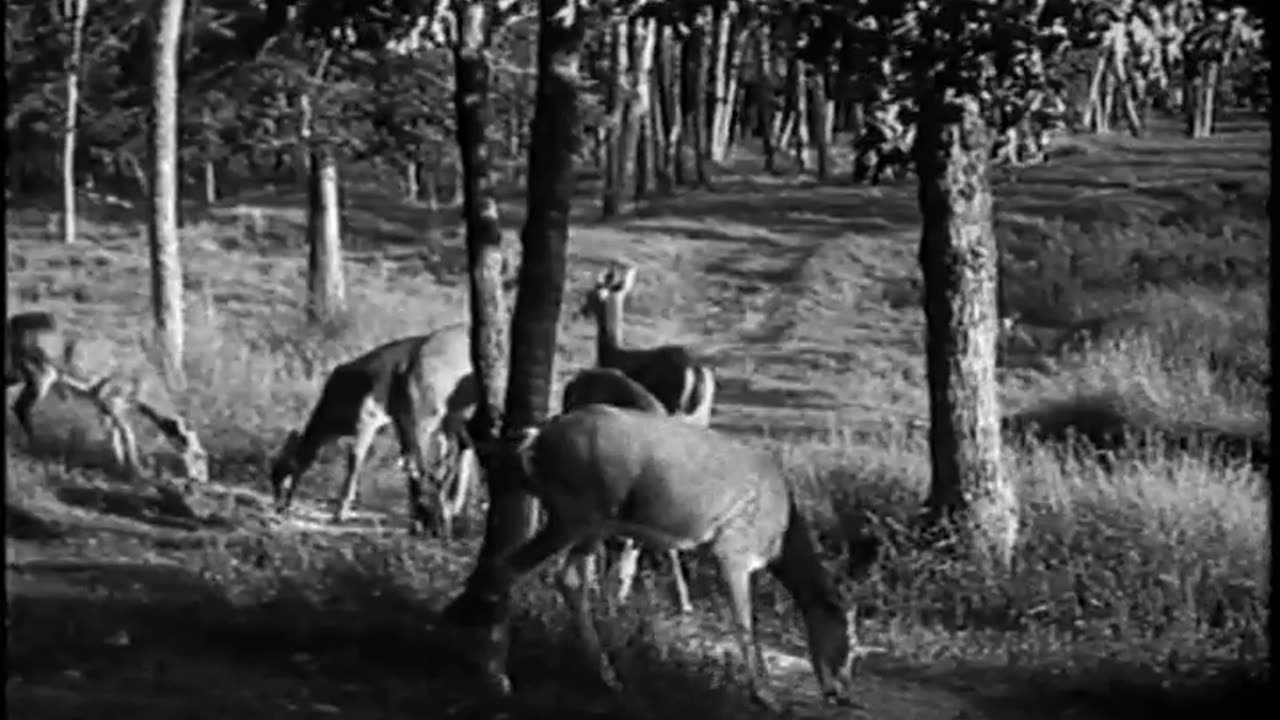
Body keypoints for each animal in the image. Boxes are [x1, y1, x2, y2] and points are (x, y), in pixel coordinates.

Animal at [5, 311, 209, 484]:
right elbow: (127, 434)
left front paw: (119, 466)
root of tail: (12, 322)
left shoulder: (101, 403)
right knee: (20, 407)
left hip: (17, 373)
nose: (202, 479)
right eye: (199, 454)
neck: (144, 388)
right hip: (40, 373)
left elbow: (113, 435)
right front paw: (136, 471)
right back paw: (35, 446)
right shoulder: (110, 398)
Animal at [268, 322, 478, 537]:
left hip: (436, 414)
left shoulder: (368, 419)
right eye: (272, 475)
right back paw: (452, 515)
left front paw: (341, 512)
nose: (279, 508)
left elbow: (355, 459)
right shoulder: (399, 420)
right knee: (453, 453)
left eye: (284, 473)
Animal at [448, 404, 880, 711]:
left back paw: (607, 678)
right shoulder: (734, 548)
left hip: (591, 520)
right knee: (511, 568)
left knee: (566, 577)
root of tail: (533, 444)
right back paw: (497, 678)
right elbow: (745, 624)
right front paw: (766, 697)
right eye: (850, 642)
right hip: (578, 511)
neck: (782, 538)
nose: (841, 692)